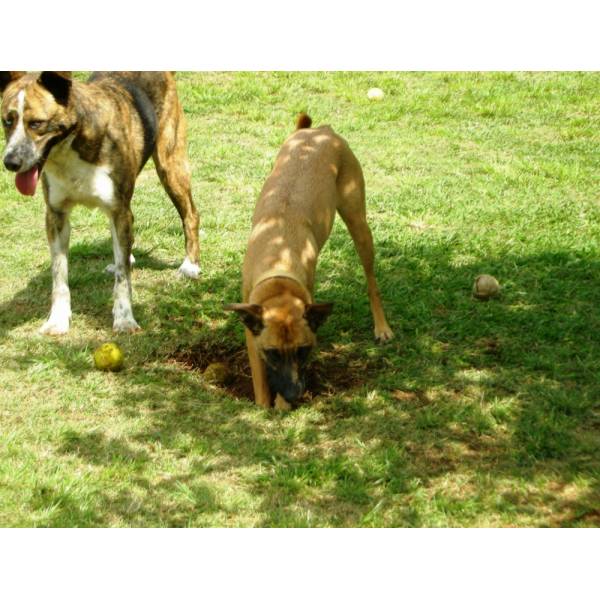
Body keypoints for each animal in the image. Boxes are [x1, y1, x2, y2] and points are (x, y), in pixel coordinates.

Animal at [0, 71, 202, 332]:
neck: (73, 145)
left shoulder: (119, 209)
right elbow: (59, 274)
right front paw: (57, 320)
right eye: (7, 121)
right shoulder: (56, 214)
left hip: (171, 165)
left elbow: (123, 279)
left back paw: (190, 265)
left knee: (190, 214)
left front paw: (124, 319)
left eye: (36, 123)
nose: (10, 162)